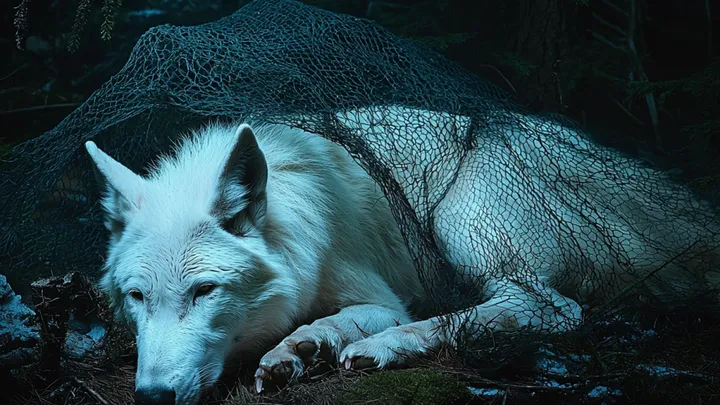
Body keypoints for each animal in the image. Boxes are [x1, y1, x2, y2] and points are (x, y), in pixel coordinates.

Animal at [85, 105, 720, 405]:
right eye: (137, 298)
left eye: (204, 292)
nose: (153, 398)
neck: (293, 228)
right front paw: (297, 354)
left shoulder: (379, 296)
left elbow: (338, 319)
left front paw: (302, 346)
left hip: (461, 223)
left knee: (546, 311)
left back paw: (387, 347)